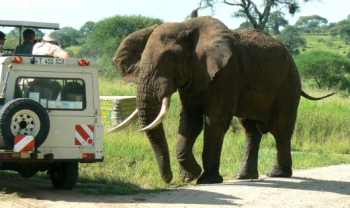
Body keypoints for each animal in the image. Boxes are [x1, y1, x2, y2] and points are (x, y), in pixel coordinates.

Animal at [110, 17, 334, 184]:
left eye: (170, 59)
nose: (169, 179)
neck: (187, 27)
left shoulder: (227, 73)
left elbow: (214, 121)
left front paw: (205, 179)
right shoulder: (194, 77)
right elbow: (189, 121)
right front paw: (191, 176)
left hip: (288, 84)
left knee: (281, 129)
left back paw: (278, 174)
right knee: (251, 130)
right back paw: (244, 176)